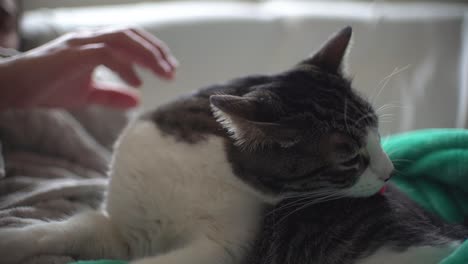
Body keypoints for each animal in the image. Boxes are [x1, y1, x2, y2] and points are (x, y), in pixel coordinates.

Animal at [0, 25, 466, 264]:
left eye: (379, 137)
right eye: (351, 158)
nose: (391, 172)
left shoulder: (221, 247)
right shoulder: (125, 229)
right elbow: (62, 230)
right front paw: (14, 240)